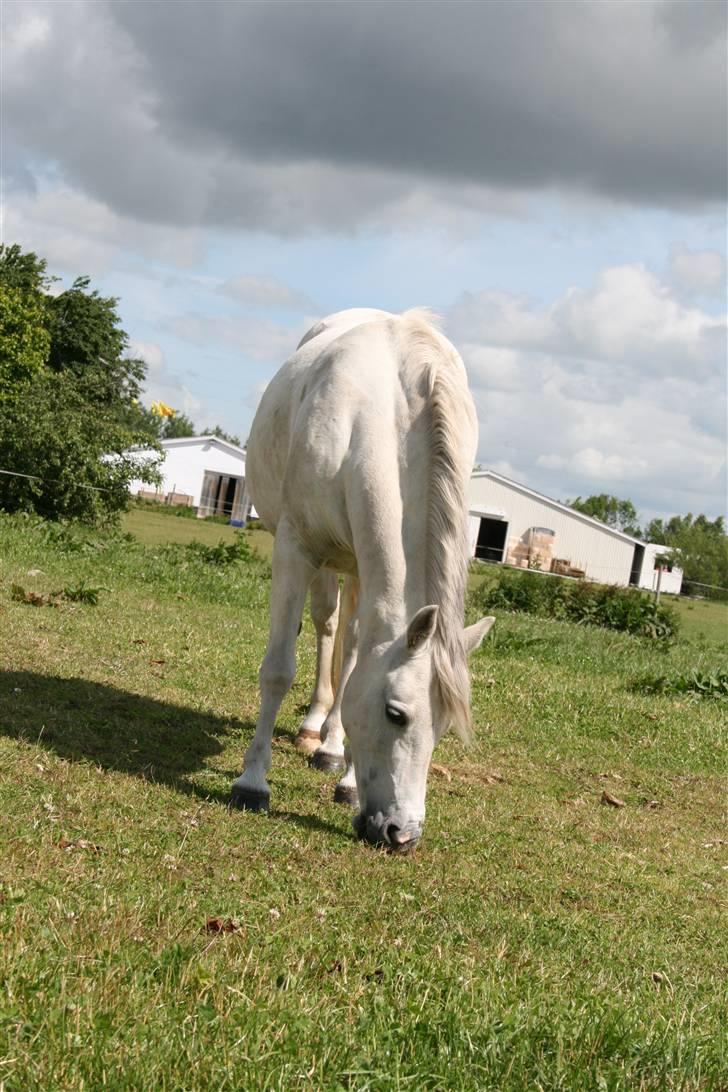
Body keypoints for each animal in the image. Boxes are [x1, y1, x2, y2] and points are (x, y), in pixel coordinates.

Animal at [233, 307, 495, 851]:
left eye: (444, 727)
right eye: (397, 713)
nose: (402, 834)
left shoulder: (363, 561)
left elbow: (357, 667)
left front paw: (348, 779)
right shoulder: (295, 549)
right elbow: (278, 670)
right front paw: (251, 783)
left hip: (355, 566)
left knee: (351, 644)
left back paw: (331, 747)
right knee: (326, 626)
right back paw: (313, 725)